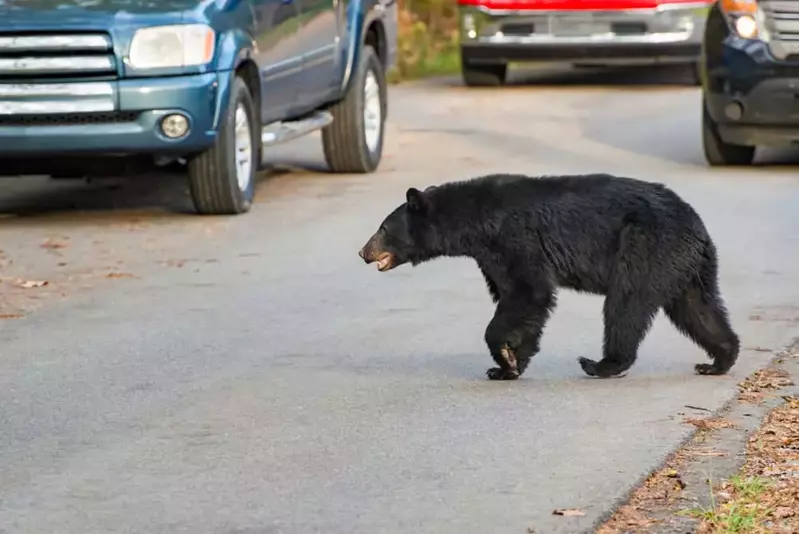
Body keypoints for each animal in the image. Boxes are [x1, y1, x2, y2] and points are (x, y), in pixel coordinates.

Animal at [358, 173, 740, 381]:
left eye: (383, 228)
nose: (363, 252)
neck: (475, 222)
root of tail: (696, 225)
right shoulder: (491, 255)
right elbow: (518, 299)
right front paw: (510, 364)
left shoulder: (515, 238)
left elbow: (529, 291)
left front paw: (504, 356)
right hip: (685, 266)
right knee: (697, 308)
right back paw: (719, 360)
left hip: (645, 247)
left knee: (626, 304)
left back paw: (602, 364)